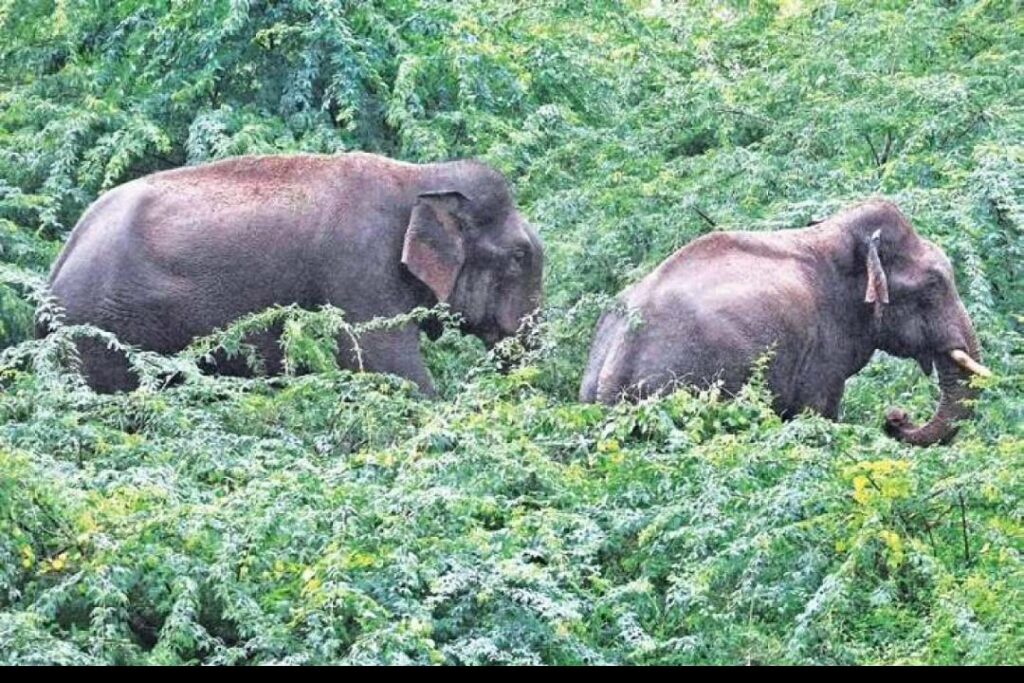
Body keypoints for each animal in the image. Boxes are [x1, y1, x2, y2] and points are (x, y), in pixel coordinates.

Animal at [579, 200, 990, 446]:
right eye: (934, 285)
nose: (895, 417)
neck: (830, 234)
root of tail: (616, 359)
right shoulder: (822, 349)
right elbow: (818, 412)